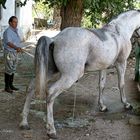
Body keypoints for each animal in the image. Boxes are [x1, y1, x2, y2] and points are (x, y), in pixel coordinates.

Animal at [19, 10, 140, 139]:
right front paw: (126, 104)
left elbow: (101, 86)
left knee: (31, 87)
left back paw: (24, 122)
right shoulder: (121, 64)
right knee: (50, 93)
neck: (118, 31)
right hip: (70, 76)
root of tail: (54, 39)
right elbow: (121, 84)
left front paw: (102, 106)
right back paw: (51, 130)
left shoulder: (103, 68)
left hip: (51, 73)